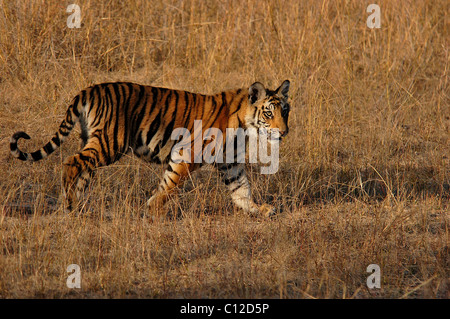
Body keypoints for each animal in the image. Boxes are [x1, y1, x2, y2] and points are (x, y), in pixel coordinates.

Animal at [11, 80, 292, 220]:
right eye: (269, 113)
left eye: (285, 110)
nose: (284, 132)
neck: (246, 126)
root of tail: (88, 90)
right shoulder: (187, 154)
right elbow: (170, 184)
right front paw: (152, 210)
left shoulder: (230, 162)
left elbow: (241, 191)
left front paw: (260, 210)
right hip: (110, 143)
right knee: (72, 162)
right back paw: (69, 205)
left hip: (95, 142)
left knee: (83, 169)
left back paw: (80, 207)